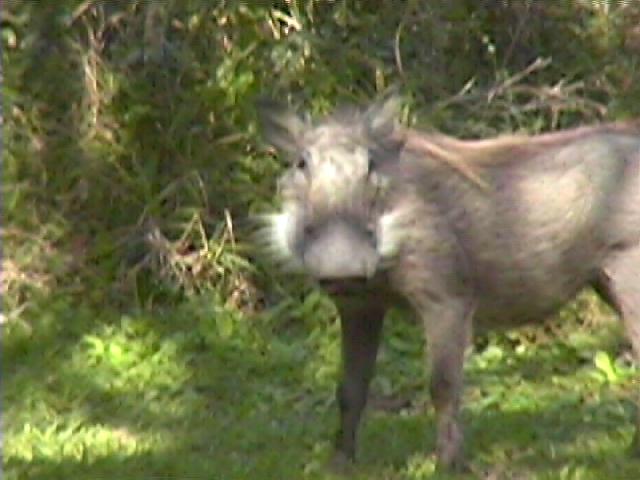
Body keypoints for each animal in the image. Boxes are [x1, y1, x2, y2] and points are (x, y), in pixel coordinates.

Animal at [257, 96, 640, 471]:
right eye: (301, 163)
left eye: (371, 164)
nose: (342, 268)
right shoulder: (359, 306)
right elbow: (350, 387)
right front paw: (338, 465)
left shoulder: (446, 300)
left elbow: (442, 386)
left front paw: (447, 465)